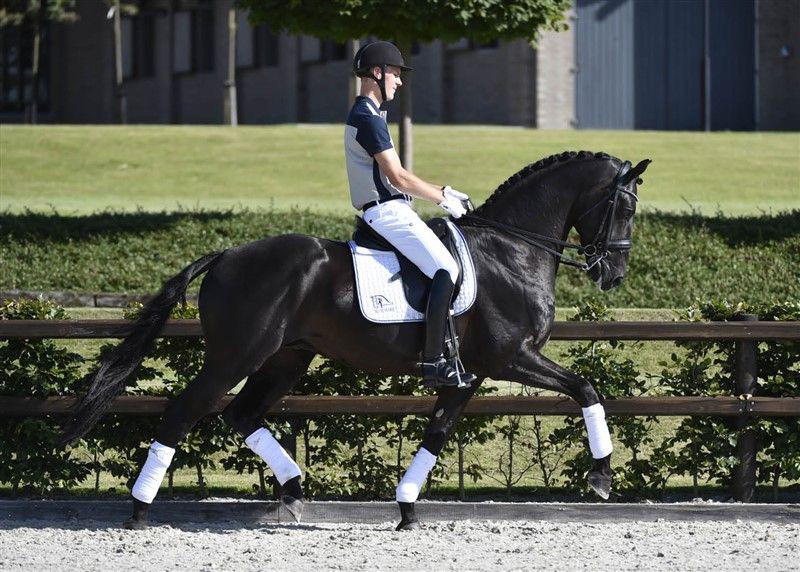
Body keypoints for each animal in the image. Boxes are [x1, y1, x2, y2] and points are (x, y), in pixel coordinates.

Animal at [61, 150, 651, 530]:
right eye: (624, 208)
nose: (614, 275)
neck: (513, 250)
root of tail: (227, 255)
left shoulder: (469, 375)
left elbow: (437, 433)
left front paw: (407, 509)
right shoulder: (513, 358)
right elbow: (586, 389)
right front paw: (601, 476)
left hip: (286, 359)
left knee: (241, 414)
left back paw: (294, 493)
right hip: (236, 356)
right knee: (185, 411)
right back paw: (140, 510)